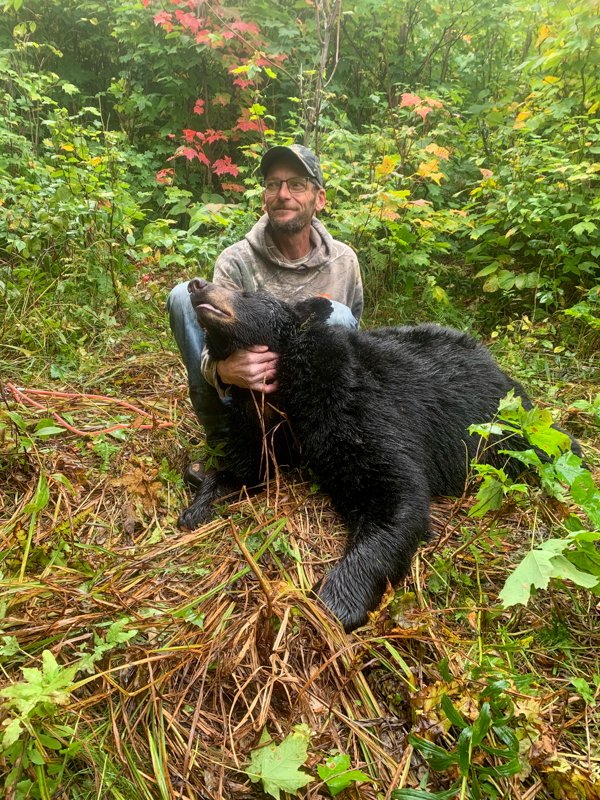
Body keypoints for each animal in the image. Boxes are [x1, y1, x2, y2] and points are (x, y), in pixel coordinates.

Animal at [179, 279, 582, 632]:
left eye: (246, 293)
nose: (197, 284)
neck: (289, 386)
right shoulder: (270, 426)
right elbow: (251, 469)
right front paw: (198, 504)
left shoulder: (356, 405)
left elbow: (395, 494)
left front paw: (334, 602)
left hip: (510, 424)